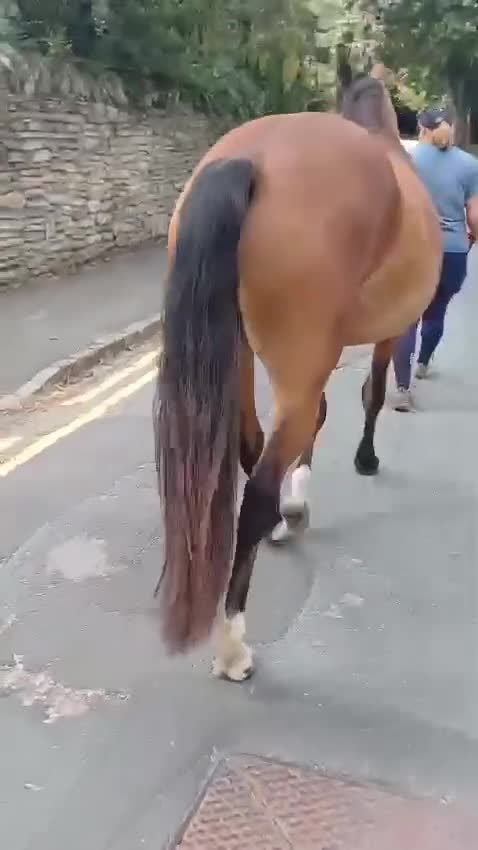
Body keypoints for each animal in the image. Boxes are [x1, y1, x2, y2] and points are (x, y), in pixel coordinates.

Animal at [153, 71, 442, 682]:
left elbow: (323, 416)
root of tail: (251, 158)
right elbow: (371, 394)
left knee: (252, 444)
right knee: (258, 487)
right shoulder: (385, 334)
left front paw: (299, 502)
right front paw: (363, 460)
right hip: (299, 360)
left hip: (240, 356)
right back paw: (234, 645)